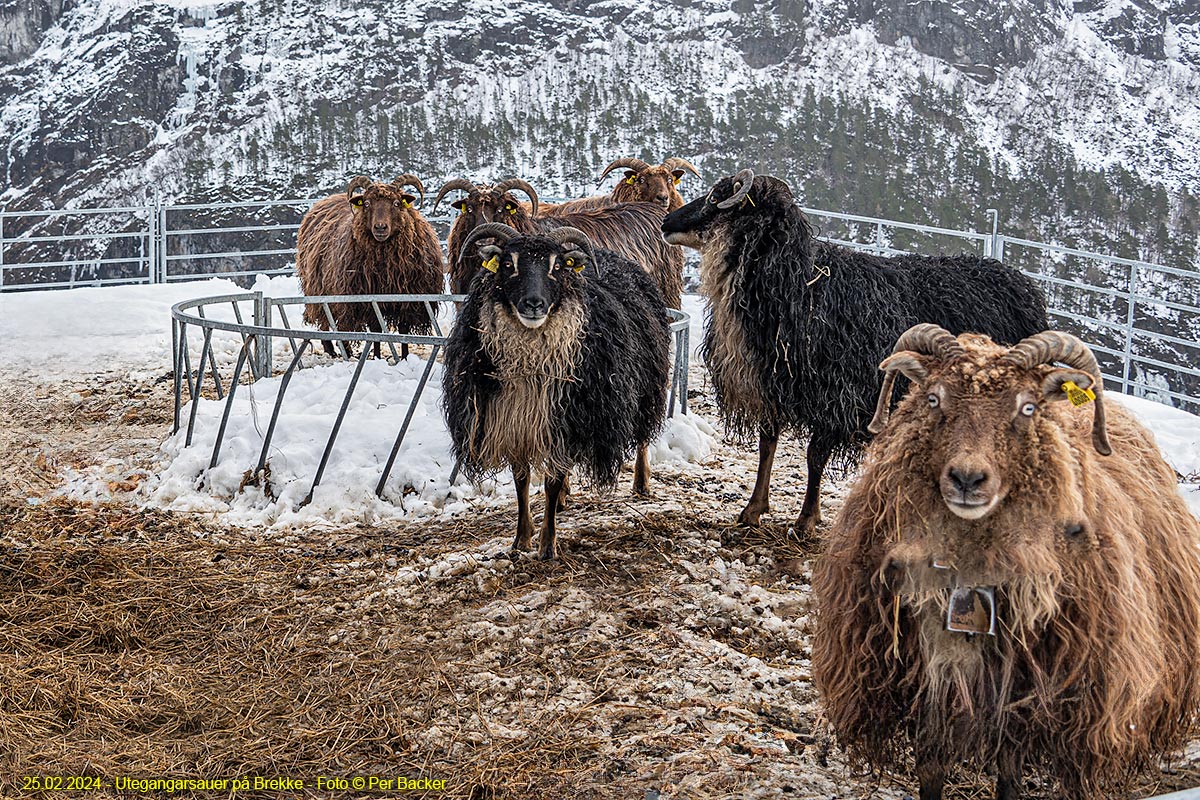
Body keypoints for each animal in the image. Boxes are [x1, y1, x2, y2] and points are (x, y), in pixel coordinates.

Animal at [295, 177, 446, 359]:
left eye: (396, 203)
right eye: (366, 203)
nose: (380, 227)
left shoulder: (407, 299)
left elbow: (403, 329)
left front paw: (404, 357)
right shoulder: (369, 299)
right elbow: (376, 330)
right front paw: (377, 356)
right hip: (320, 288)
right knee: (327, 320)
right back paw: (334, 350)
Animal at [441, 221, 672, 561]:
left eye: (558, 266)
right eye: (508, 264)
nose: (534, 304)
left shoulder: (569, 422)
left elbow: (550, 481)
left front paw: (547, 545)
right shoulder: (516, 422)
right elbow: (522, 481)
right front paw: (521, 539)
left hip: (647, 386)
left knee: (643, 436)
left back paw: (642, 484)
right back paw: (565, 498)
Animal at [662, 167, 1046, 534]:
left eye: (716, 198)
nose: (667, 222)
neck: (801, 286)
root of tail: (1022, 284)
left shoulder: (835, 398)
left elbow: (814, 456)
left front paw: (806, 520)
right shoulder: (774, 386)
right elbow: (767, 445)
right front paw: (753, 509)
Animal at [811, 323, 1200, 800]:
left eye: (1028, 408)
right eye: (933, 398)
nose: (967, 479)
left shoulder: (1022, 696)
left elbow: (1011, 775)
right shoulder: (926, 687)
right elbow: (930, 771)